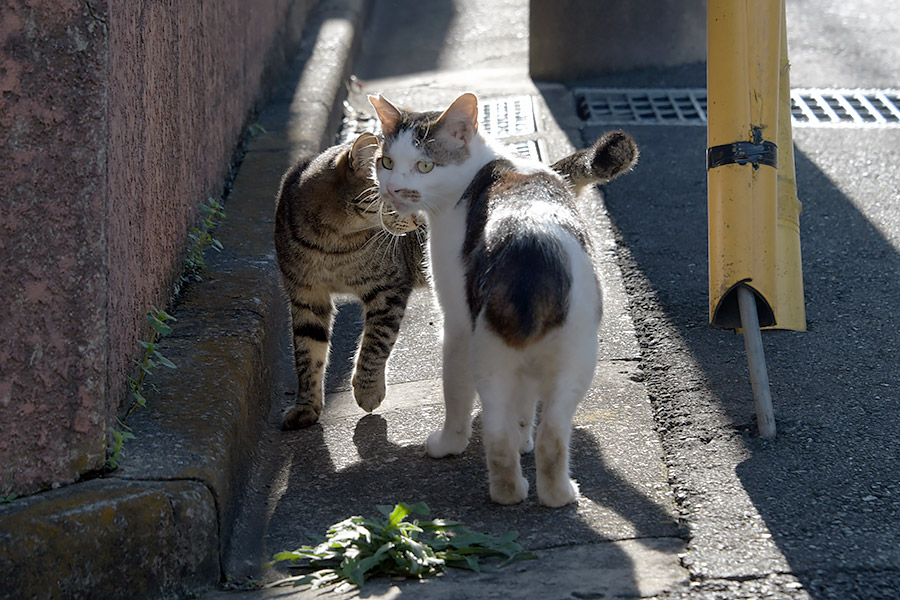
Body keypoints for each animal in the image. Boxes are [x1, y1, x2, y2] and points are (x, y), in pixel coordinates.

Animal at [368, 94, 640, 506]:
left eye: (424, 165)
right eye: (385, 162)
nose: (393, 190)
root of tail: (529, 243)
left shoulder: (456, 322)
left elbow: (457, 397)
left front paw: (449, 443)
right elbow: (523, 408)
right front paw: (522, 437)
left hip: (485, 348)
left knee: (495, 428)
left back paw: (513, 490)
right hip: (571, 357)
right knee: (546, 435)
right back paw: (550, 493)